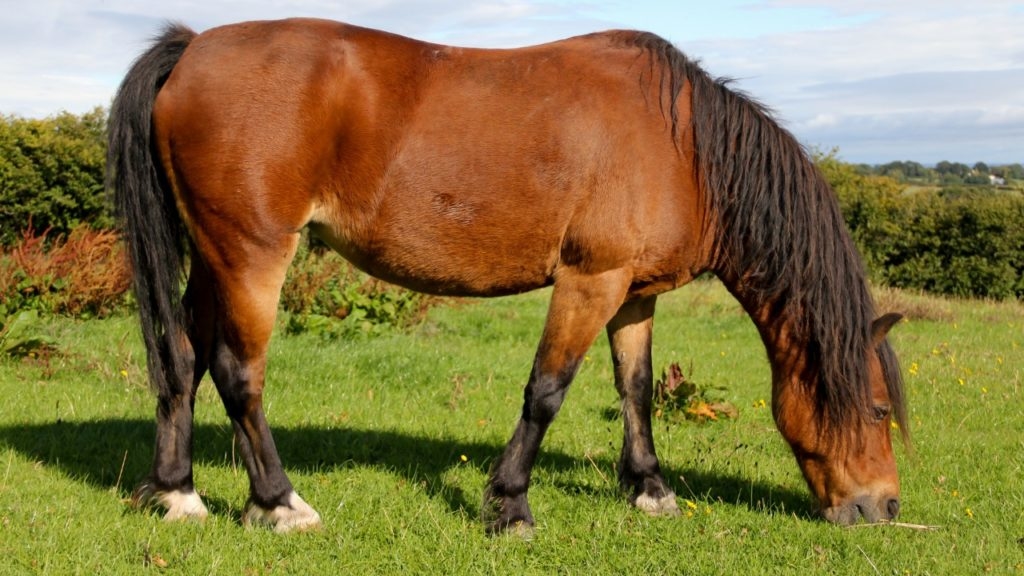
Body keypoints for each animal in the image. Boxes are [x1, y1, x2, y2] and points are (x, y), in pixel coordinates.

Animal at [107, 18, 907, 534]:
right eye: (877, 410)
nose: (885, 507)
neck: (683, 145)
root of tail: (192, 48)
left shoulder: (633, 294)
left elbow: (636, 389)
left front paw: (649, 488)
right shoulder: (590, 280)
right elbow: (547, 391)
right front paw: (510, 504)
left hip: (213, 256)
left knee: (182, 358)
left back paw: (176, 493)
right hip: (251, 255)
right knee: (238, 371)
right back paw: (277, 502)